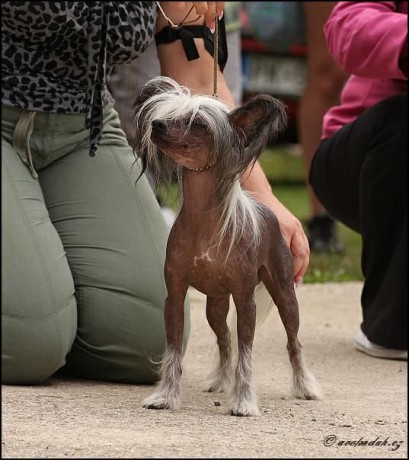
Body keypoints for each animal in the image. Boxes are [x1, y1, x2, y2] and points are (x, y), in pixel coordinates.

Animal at [132, 76, 320, 416]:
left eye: (197, 123)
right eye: (169, 114)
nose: (157, 125)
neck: (204, 222)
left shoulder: (246, 300)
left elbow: (247, 354)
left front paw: (243, 401)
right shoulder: (175, 296)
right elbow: (175, 350)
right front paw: (165, 396)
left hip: (285, 294)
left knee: (293, 341)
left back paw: (304, 387)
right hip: (215, 305)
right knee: (223, 340)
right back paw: (221, 380)